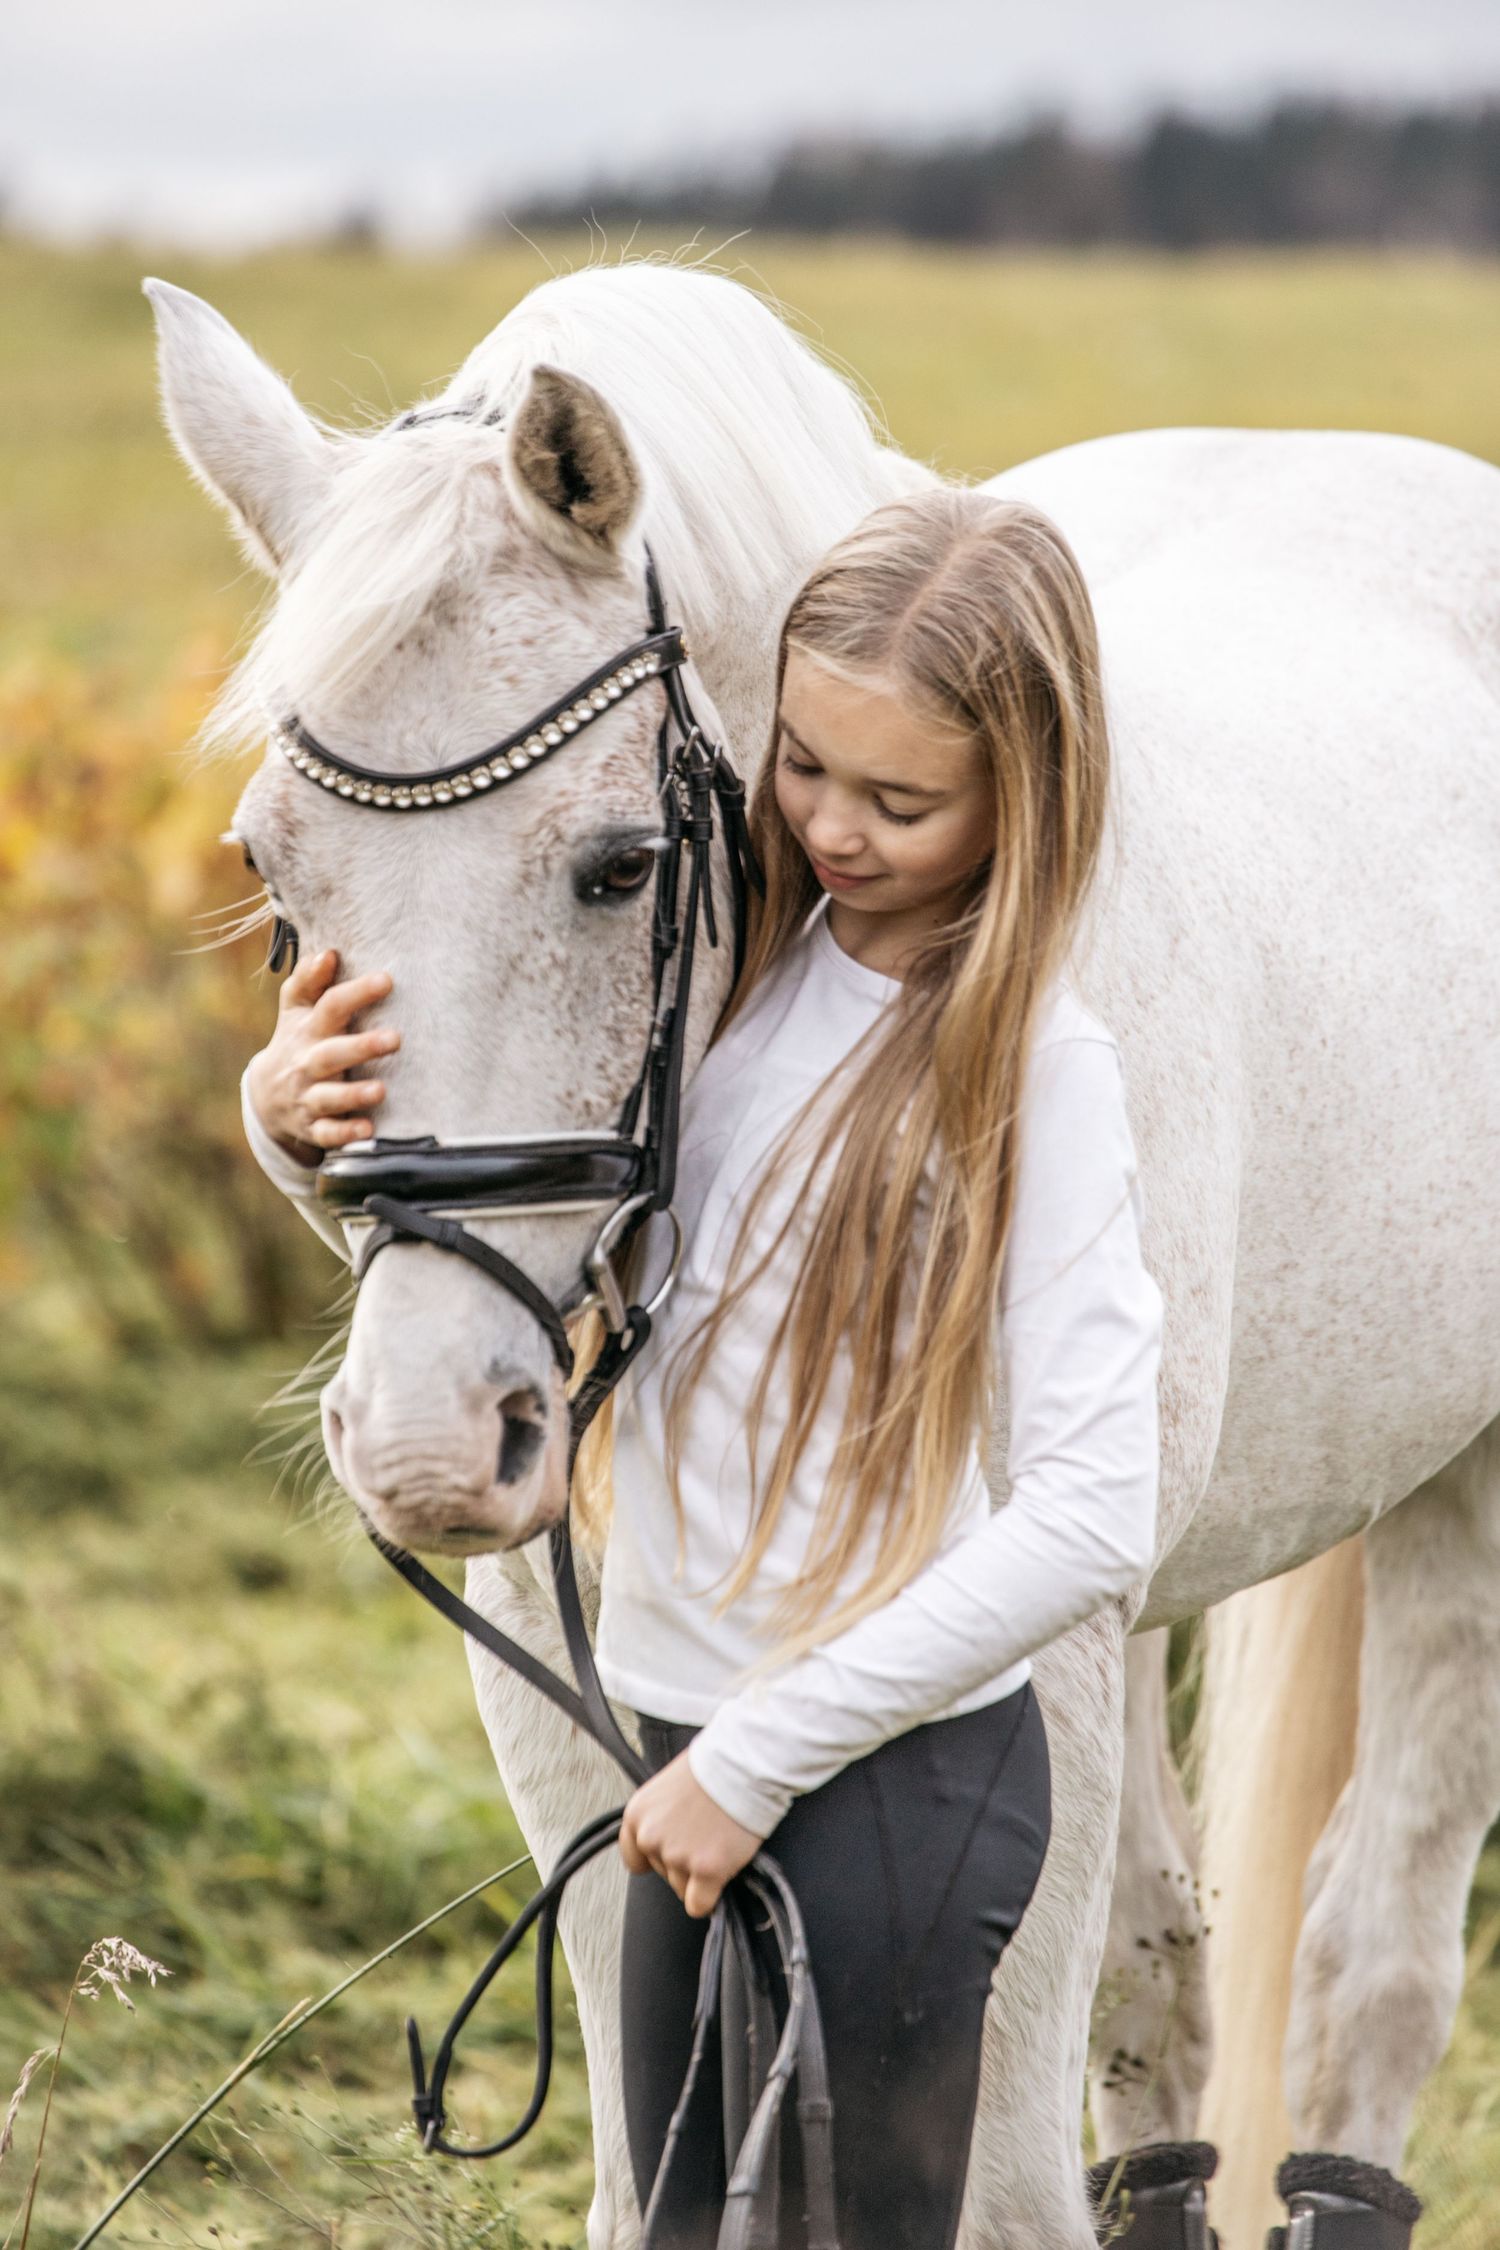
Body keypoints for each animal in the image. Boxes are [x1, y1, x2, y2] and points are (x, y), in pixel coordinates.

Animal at [148, 254, 1500, 2249]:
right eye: (269, 866)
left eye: (620, 867)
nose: (425, 1442)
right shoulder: (573, 1681)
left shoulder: (1024, 1645)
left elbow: (1003, 2176)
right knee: (1169, 1978)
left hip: (1444, 1503)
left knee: (1365, 1969)